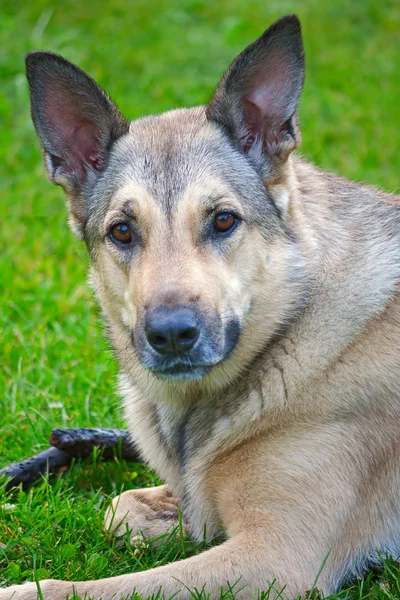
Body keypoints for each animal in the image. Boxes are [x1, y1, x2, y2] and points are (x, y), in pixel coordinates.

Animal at [3, 12, 400, 600]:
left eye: (223, 220)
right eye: (122, 231)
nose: (171, 334)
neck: (286, 332)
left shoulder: (277, 557)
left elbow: (92, 587)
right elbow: (122, 507)